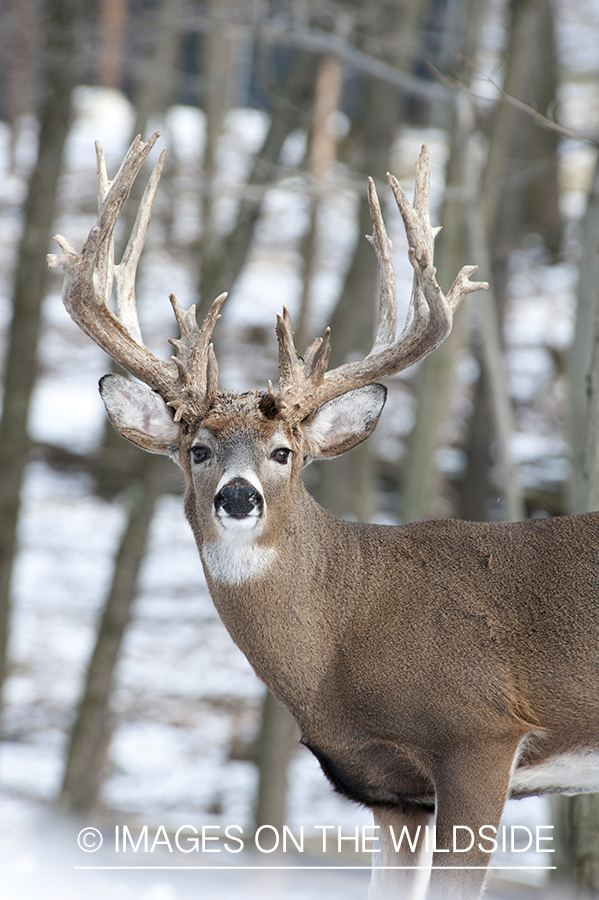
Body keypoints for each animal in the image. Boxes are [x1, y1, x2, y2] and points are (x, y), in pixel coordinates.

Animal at [48, 135, 599, 900]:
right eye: (197, 449)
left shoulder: (480, 734)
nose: (238, 496)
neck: (339, 647)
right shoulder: (391, 791)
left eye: (285, 452)